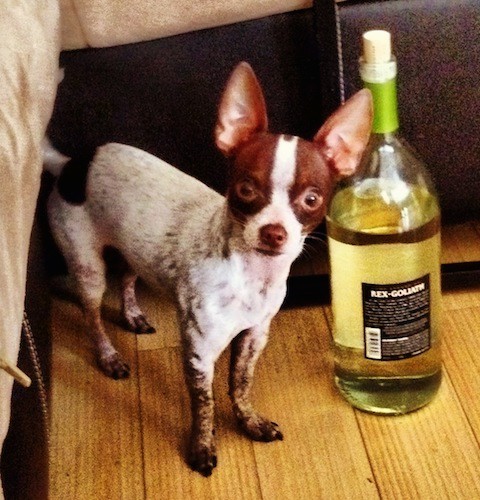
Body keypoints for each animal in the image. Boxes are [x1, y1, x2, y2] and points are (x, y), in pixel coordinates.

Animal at [44, 62, 372, 476]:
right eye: (245, 190)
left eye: (312, 199)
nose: (274, 232)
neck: (252, 275)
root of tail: (71, 164)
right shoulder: (200, 352)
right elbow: (204, 405)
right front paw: (202, 447)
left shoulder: (254, 336)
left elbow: (241, 385)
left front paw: (249, 422)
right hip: (88, 269)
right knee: (92, 317)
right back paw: (108, 357)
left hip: (134, 251)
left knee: (128, 279)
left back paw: (132, 315)